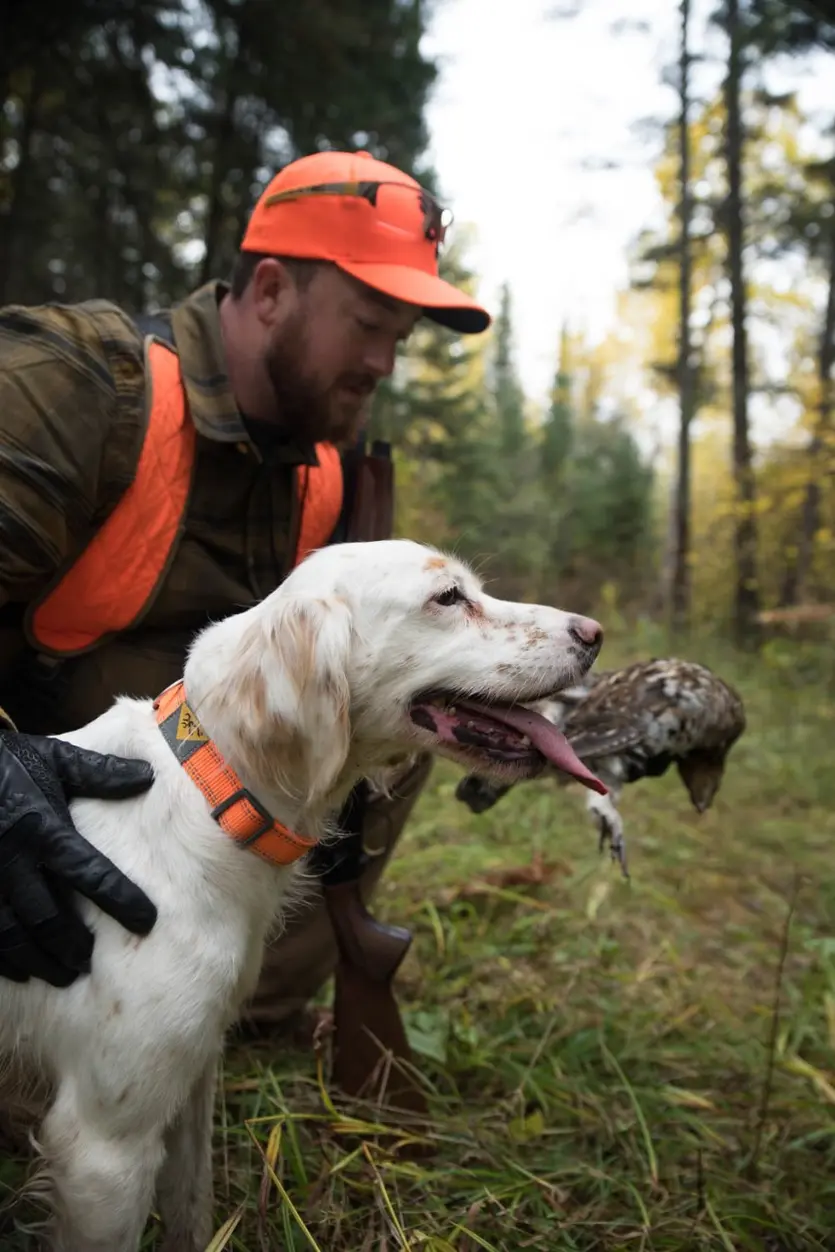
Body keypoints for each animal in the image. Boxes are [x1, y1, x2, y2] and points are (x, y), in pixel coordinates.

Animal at [0, 543, 603, 1252]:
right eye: (448, 598)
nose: (594, 634)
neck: (214, 791)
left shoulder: (191, 1076)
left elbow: (192, 1207)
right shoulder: (103, 1144)